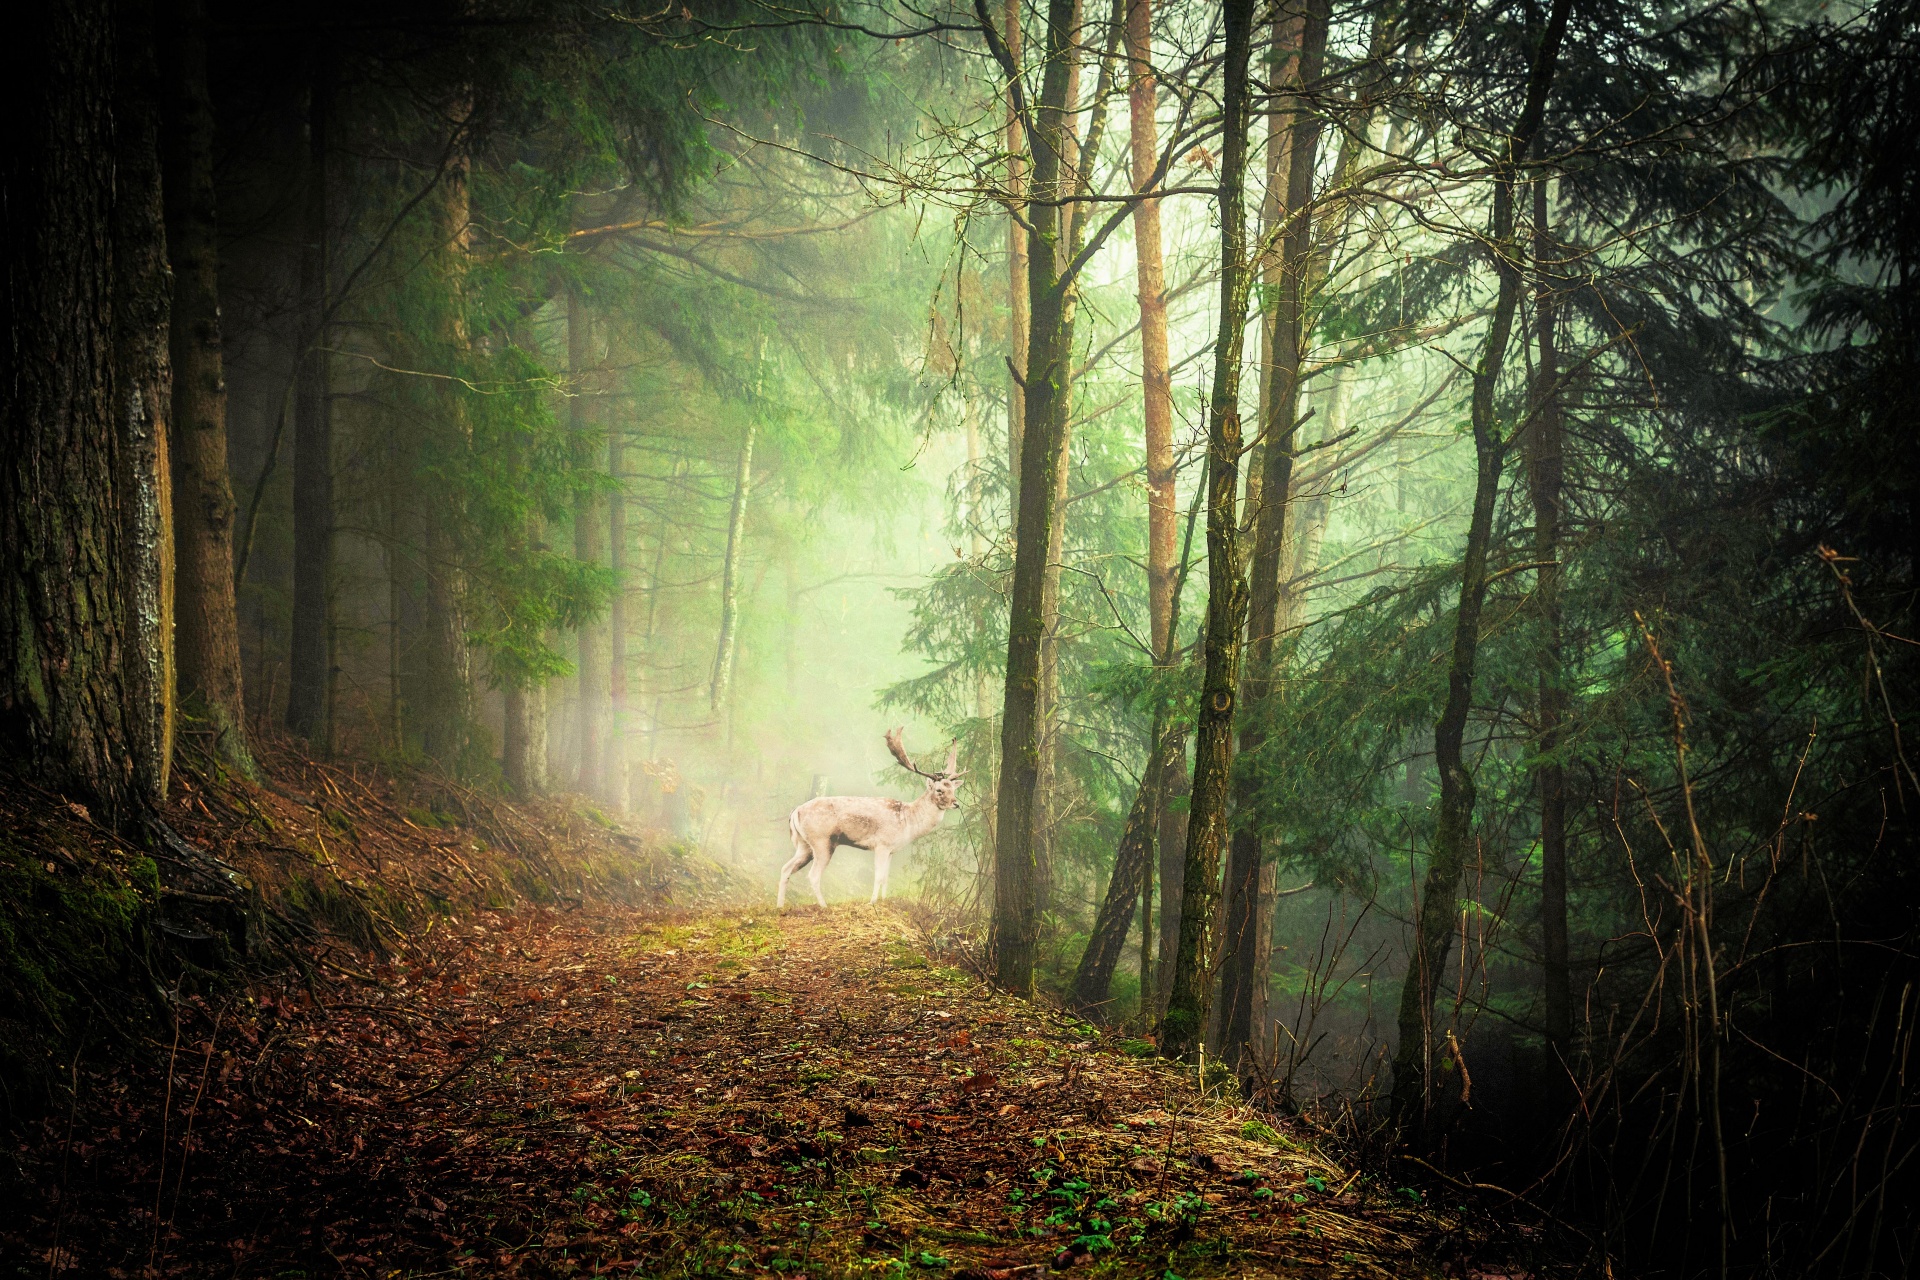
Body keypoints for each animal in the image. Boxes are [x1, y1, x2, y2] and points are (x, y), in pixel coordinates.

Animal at [775, 729, 960, 909]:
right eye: (939, 790)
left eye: (953, 789)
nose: (956, 803)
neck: (908, 822)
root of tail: (796, 811)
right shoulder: (882, 844)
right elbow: (878, 876)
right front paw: (872, 903)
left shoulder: (891, 850)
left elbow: (886, 877)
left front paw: (883, 900)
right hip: (822, 840)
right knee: (813, 875)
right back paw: (823, 905)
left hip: (804, 844)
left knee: (786, 868)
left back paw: (780, 906)